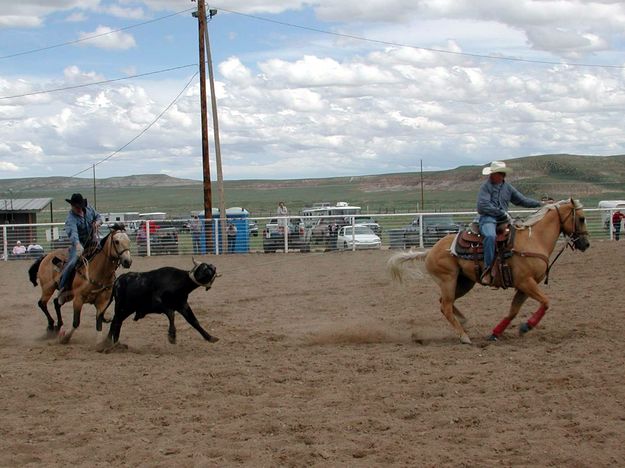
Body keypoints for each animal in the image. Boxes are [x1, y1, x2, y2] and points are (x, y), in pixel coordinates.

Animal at [388, 197, 588, 344]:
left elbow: (512, 311)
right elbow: (545, 302)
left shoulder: (523, 286)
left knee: (444, 303)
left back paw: (464, 322)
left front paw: (496, 333)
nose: (586, 244)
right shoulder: (526, 282)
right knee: (445, 306)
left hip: (464, 282)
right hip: (448, 280)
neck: (534, 240)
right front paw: (526, 326)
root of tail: (431, 250)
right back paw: (464, 337)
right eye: (581, 218)